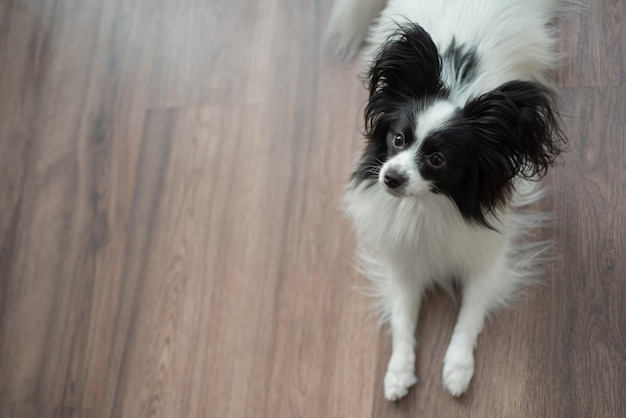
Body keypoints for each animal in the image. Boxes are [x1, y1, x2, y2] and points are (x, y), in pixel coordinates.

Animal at [326, 0, 564, 400]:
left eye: (438, 160)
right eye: (398, 139)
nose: (390, 177)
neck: (427, 206)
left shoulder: (487, 263)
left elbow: (469, 316)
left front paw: (457, 369)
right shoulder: (402, 265)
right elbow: (403, 321)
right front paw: (397, 373)